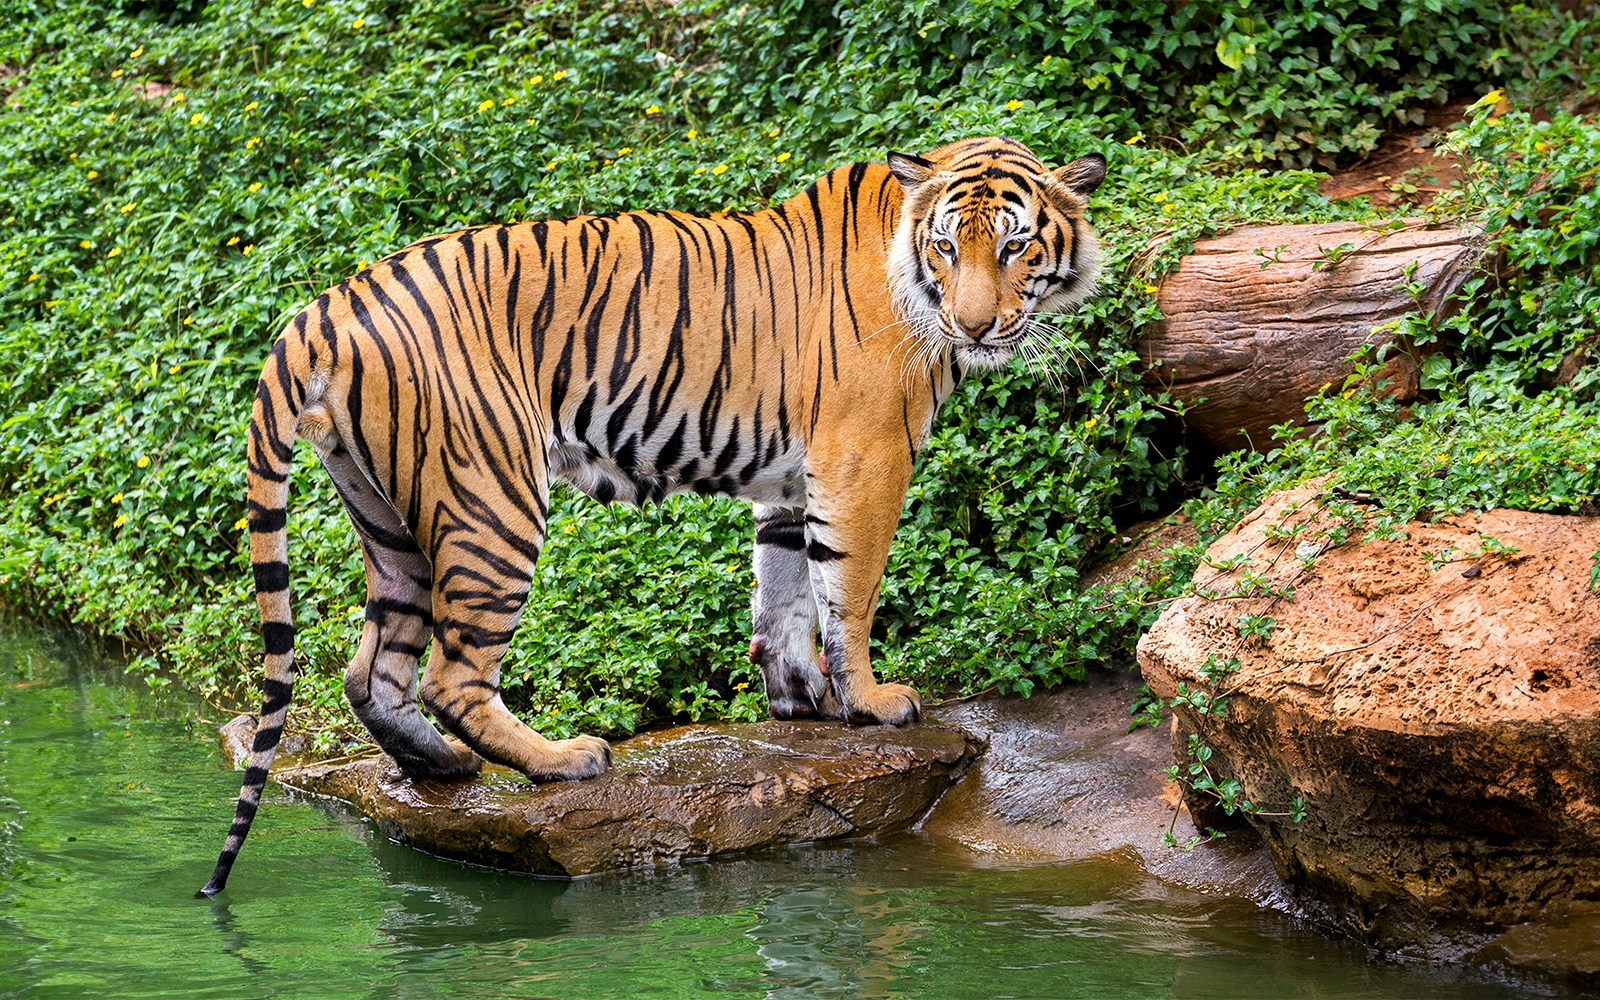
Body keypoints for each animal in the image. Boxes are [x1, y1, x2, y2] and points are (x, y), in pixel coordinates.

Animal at [196, 136, 1100, 896]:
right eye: (947, 246)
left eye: (1014, 246)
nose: (974, 325)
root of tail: (326, 303)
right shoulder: (863, 458)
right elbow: (849, 591)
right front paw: (872, 702)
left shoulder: (792, 481)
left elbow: (783, 591)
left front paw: (796, 699)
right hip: (492, 497)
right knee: (452, 673)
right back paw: (563, 760)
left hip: (386, 514)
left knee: (371, 670)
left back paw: (443, 768)